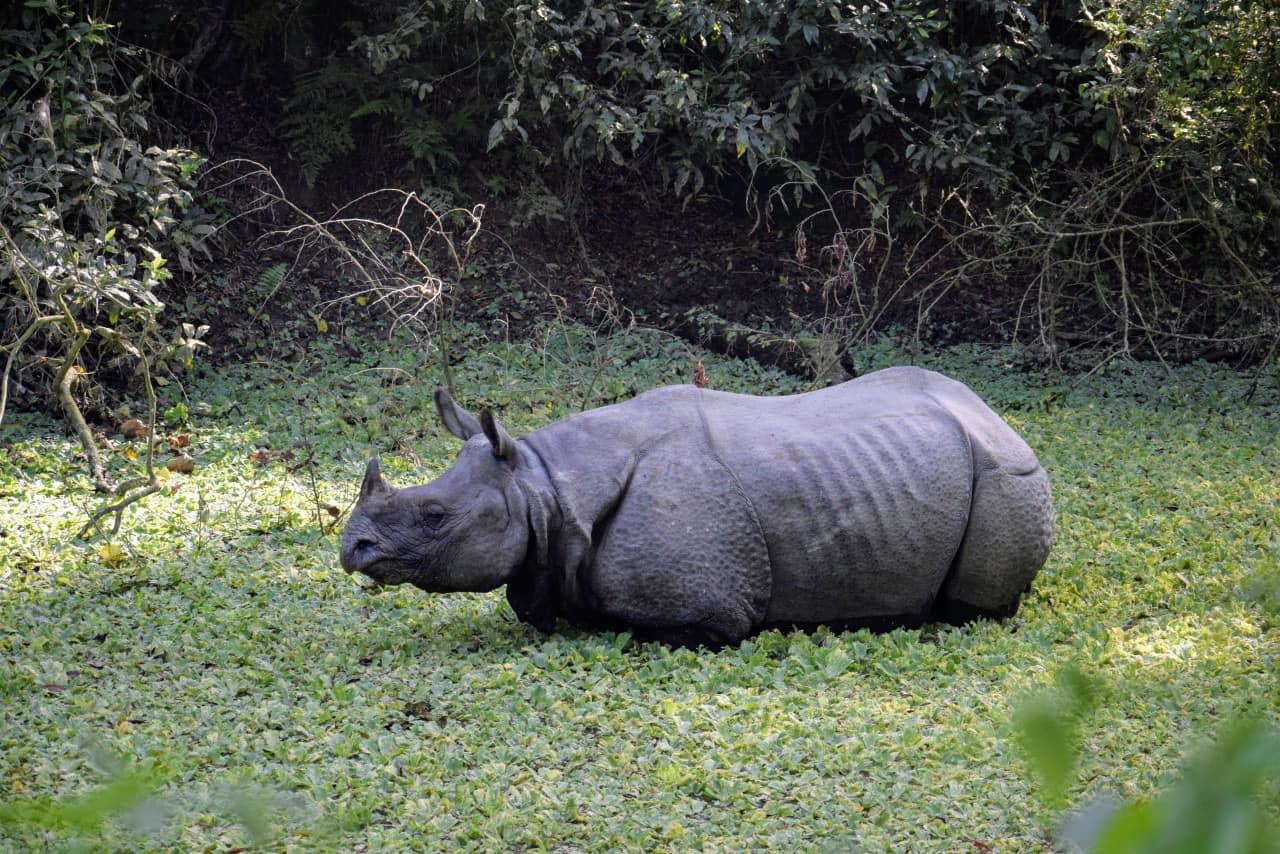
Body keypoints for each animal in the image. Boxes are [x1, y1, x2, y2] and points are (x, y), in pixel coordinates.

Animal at [339, 366, 1055, 646]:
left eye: (435, 517)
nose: (352, 550)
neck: (543, 485)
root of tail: (998, 417)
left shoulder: (707, 611)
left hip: (1008, 475)